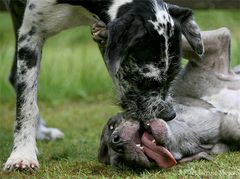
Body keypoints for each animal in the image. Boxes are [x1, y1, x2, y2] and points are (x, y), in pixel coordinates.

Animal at [2, 0, 203, 171]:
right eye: (144, 80)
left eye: (173, 76)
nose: (169, 115)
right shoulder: (30, 35)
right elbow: (26, 105)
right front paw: (22, 155)